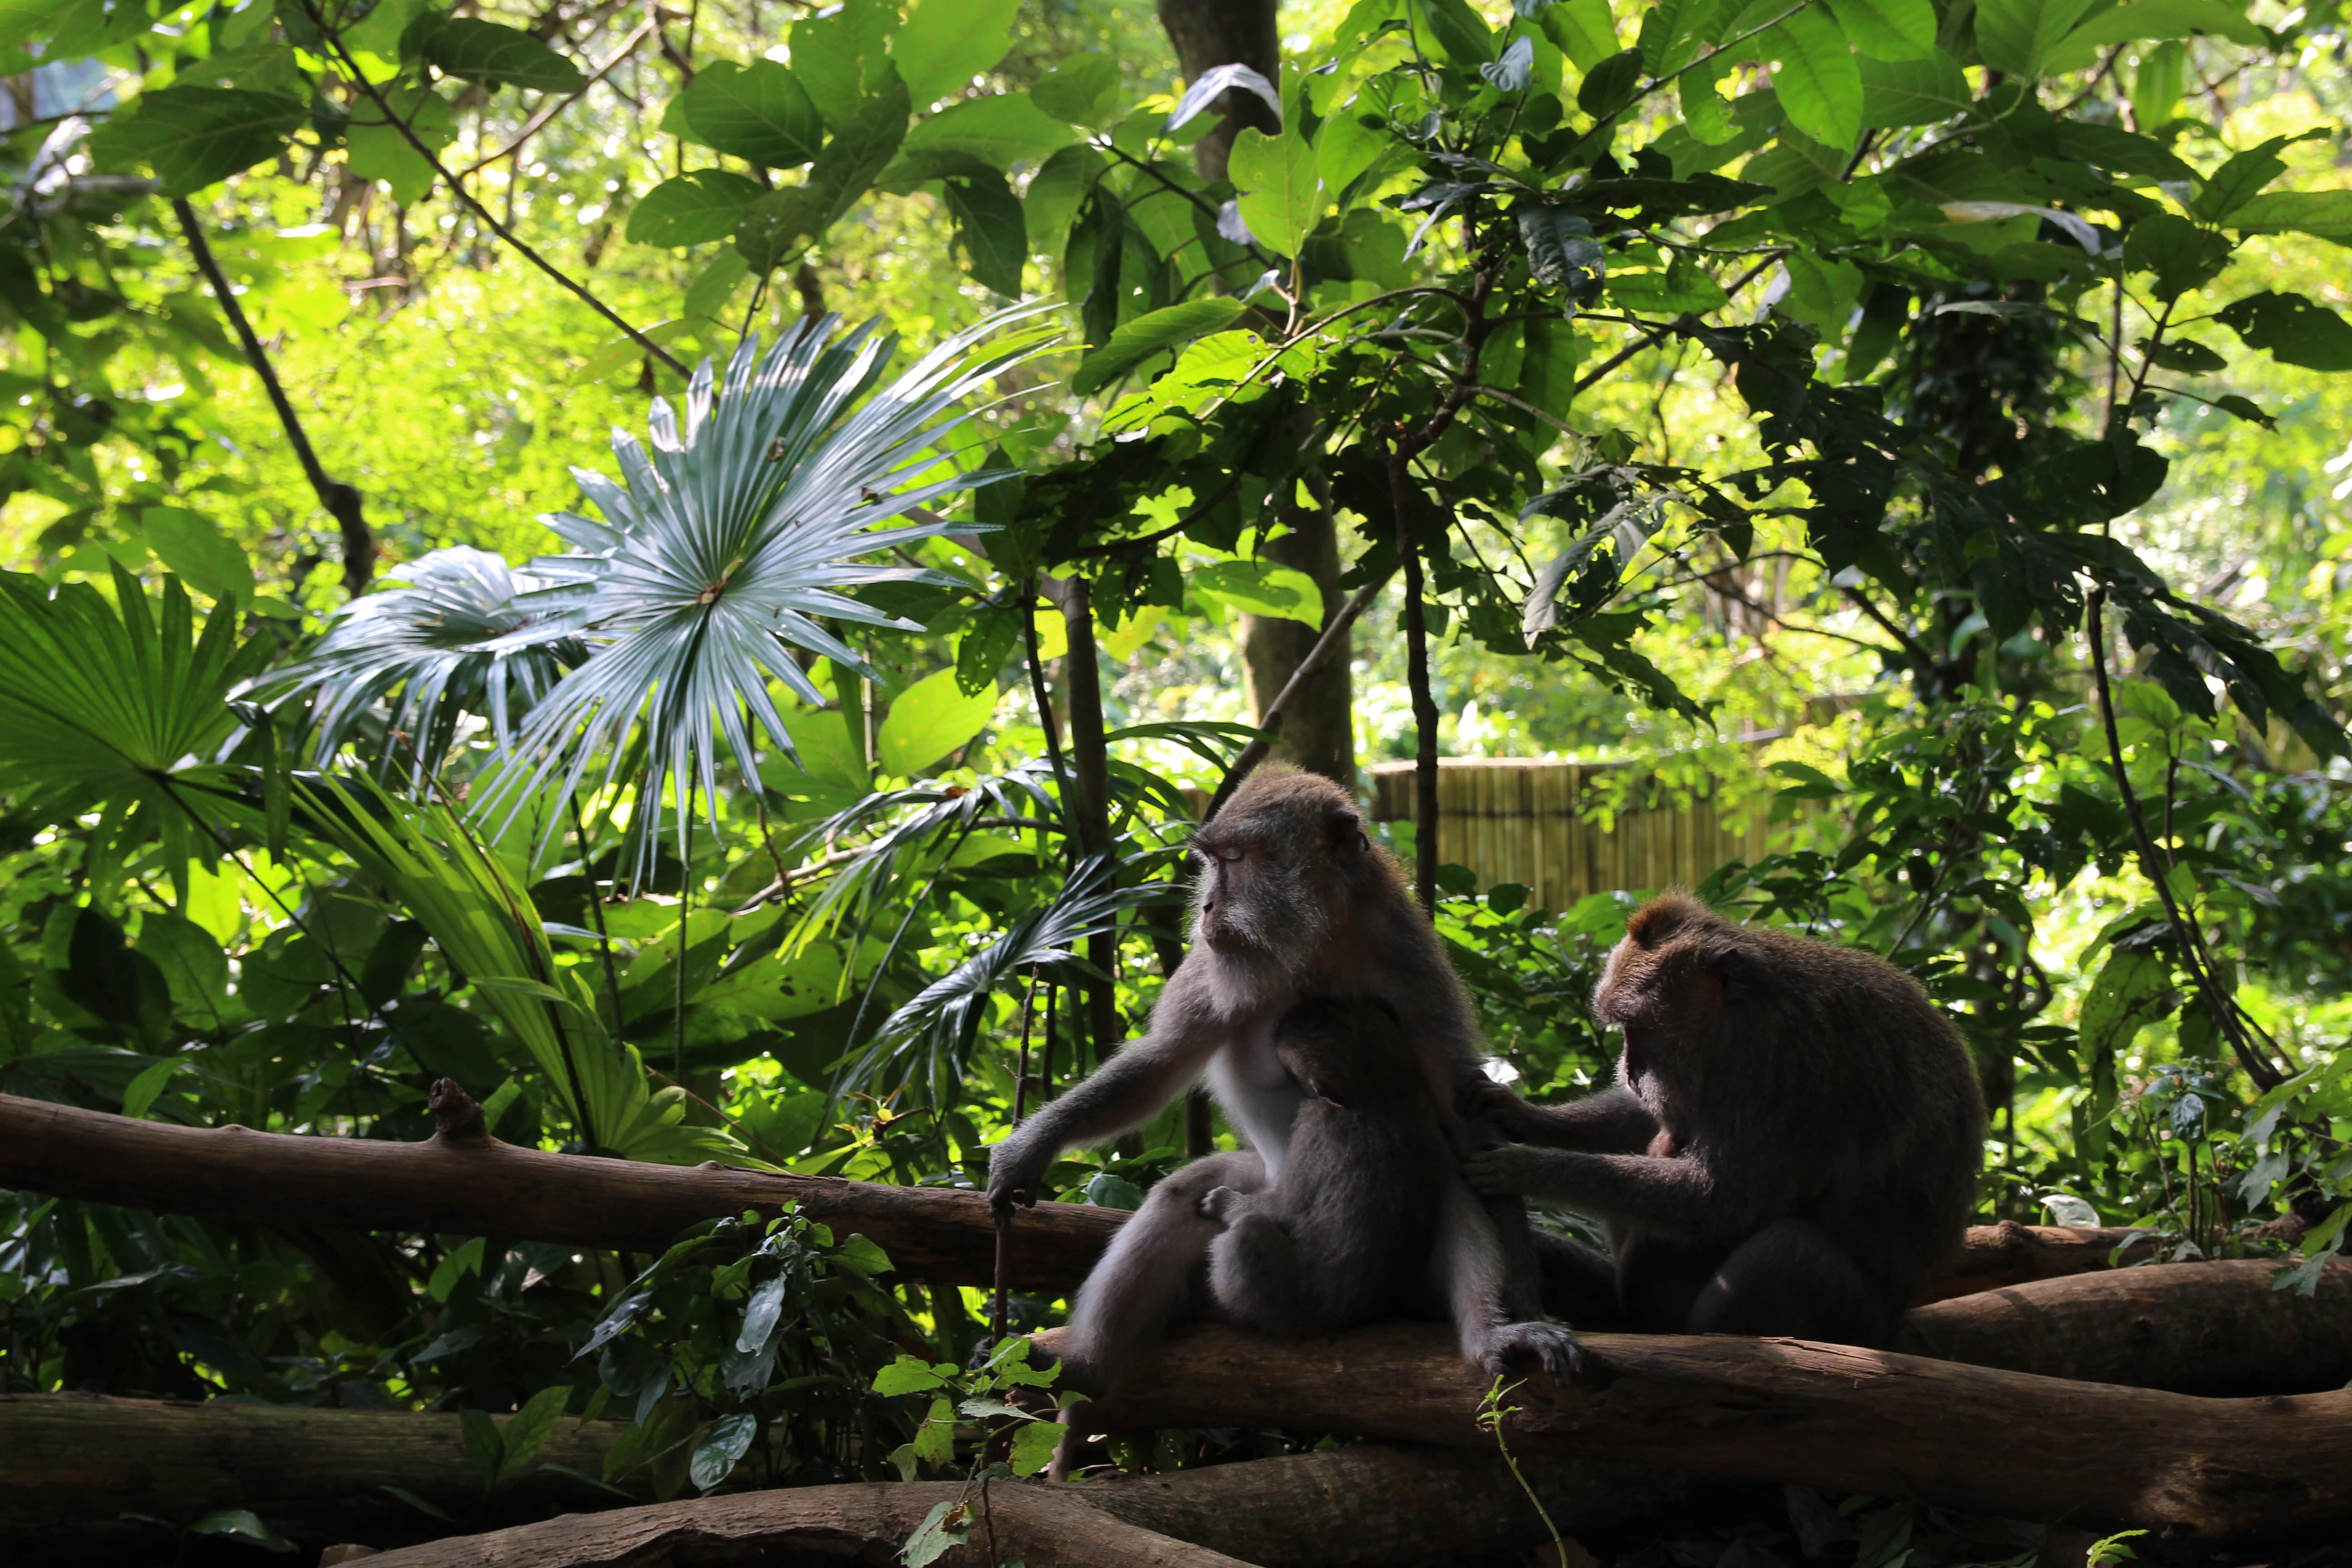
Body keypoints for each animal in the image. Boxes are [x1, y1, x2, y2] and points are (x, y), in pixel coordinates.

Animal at [1196, 996, 1455, 1338]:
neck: (1381, 1092)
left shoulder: (1313, 1126)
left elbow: (1284, 1209)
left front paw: (1225, 1202)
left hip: (1288, 1306)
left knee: (1249, 1234)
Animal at [1462, 891, 1985, 1347]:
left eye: (1638, 1027)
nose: (1629, 1069)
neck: (1743, 1010)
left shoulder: (1785, 1062)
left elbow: (1723, 1199)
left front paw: (1530, 1167)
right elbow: (1648, 1121)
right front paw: (1522, 1114)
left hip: (1861, 1322)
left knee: (1791, 1251)